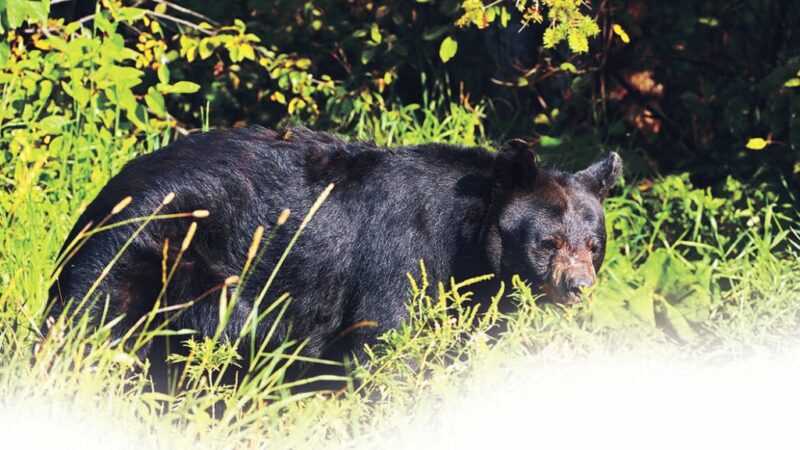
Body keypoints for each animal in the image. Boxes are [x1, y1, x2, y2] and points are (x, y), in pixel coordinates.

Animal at [43, 128, 620, 368]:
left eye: (594, 244)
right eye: (549, 242)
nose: (578, 287)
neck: (463, 242)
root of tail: (107, 191)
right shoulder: (401, 255)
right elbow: (385, 340)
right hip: (138, 249)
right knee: (90, 324)